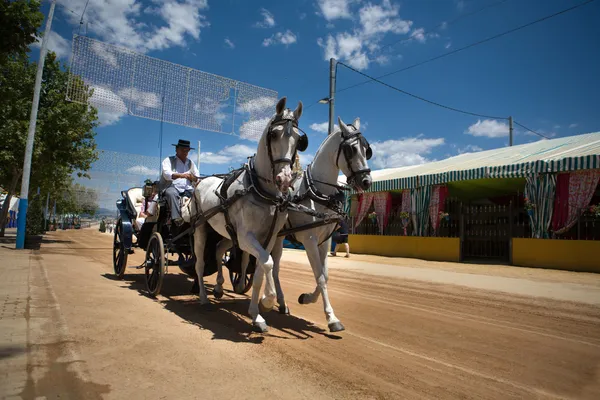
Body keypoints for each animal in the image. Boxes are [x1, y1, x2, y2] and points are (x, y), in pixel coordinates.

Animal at [190, 96, 308, 332]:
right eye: (274, 134)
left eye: (299, 140)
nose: (284, 178)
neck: (262, 191)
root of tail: (202, 181)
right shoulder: (246, 238)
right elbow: (268, 264)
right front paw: (268, 301)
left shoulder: (268, 239)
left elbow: (261, 271)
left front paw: (256, 315)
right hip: (201, 229)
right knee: (199, 263)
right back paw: (204, 297)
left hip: (226, 233)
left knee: (218, 250)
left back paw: (218, 288)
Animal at [272, 116, 370, 332]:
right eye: (351, 149)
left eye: (367, 149)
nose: (367, 181)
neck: (318, 192)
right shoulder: (309, 240)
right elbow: (320, 277)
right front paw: (332, 319)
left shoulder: (324, 241)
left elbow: (324, 275)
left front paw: (307, 298)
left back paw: (281, 302)